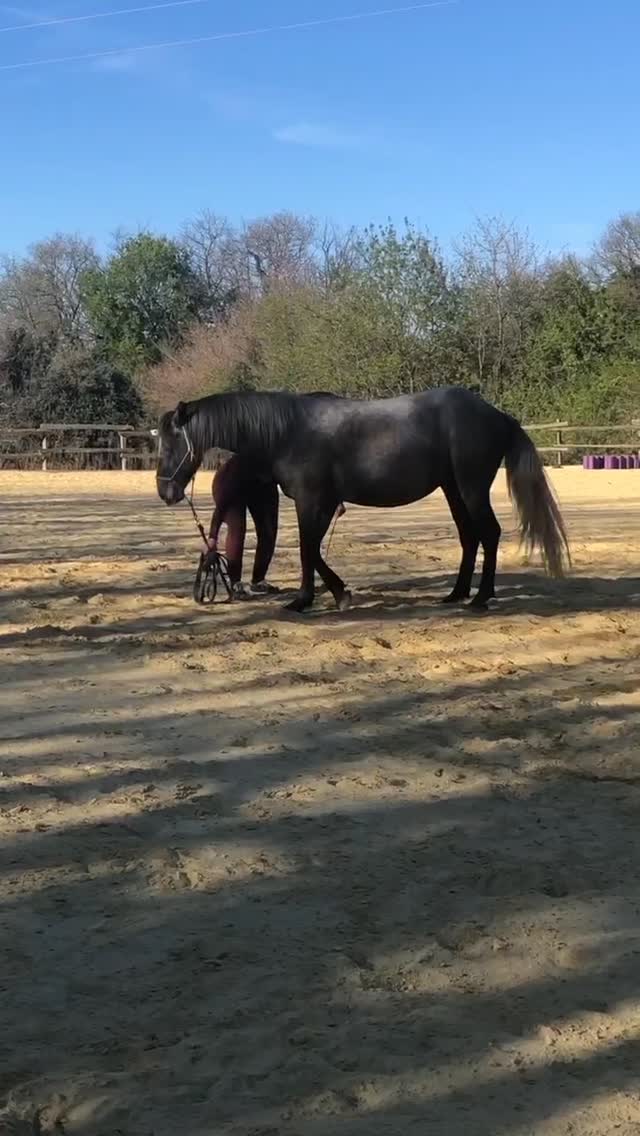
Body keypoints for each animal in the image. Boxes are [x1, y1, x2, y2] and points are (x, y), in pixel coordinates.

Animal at [156, 387, 569, 613]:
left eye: (173, 442)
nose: (166, 492)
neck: (289, 432)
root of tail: (498, 415)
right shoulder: (322, 504)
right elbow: (313, 550)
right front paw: (335, 595)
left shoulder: (313, 501)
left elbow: (308, 549)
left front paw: (307, 600)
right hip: (453, 489)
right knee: (470, 537)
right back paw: (455, 594)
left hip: (470, 488)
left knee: (489, 533)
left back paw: (481, 598)